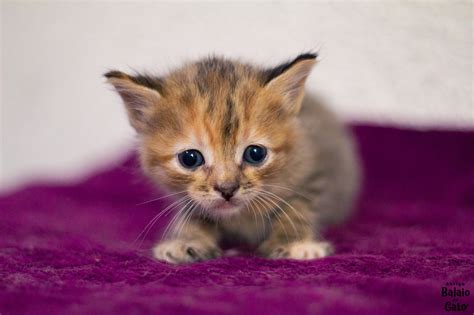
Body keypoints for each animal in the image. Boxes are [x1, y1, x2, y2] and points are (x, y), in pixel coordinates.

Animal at [105, 53, 360, 264]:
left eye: (255, 154)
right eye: (190, 159)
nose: (227, 189)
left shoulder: (313, 171)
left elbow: (297, 208)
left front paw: (293, 242)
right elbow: (194, 214)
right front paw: (187, 240)